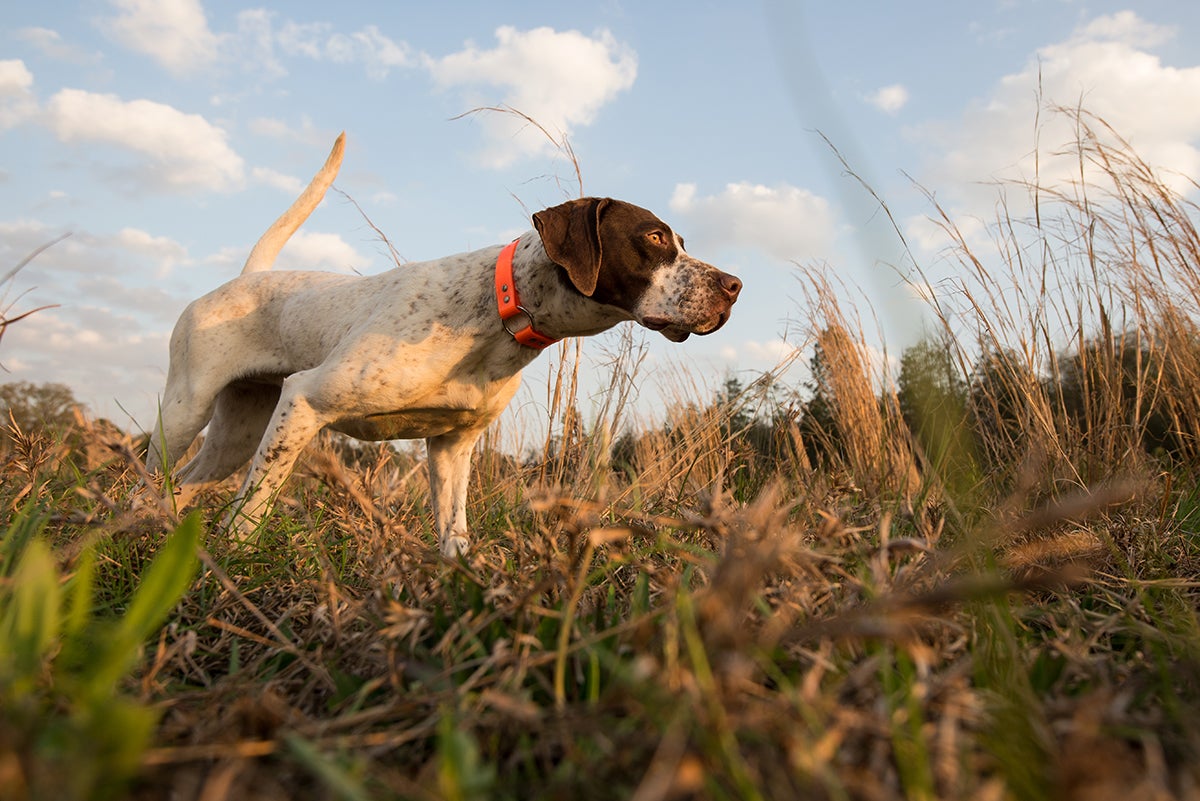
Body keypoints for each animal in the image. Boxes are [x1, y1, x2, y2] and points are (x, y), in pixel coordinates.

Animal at [148, 133, 739, 556]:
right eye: (654, 238)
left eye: (681, 241)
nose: (734, 286)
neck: (500, 310)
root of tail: (247, 278)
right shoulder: (305, 398)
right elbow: (254, 506)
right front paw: (235, 556)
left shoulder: (454, 446)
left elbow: (454, 532)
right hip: (185, 413)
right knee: (151, 478)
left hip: (238, 433)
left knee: (183, 486)